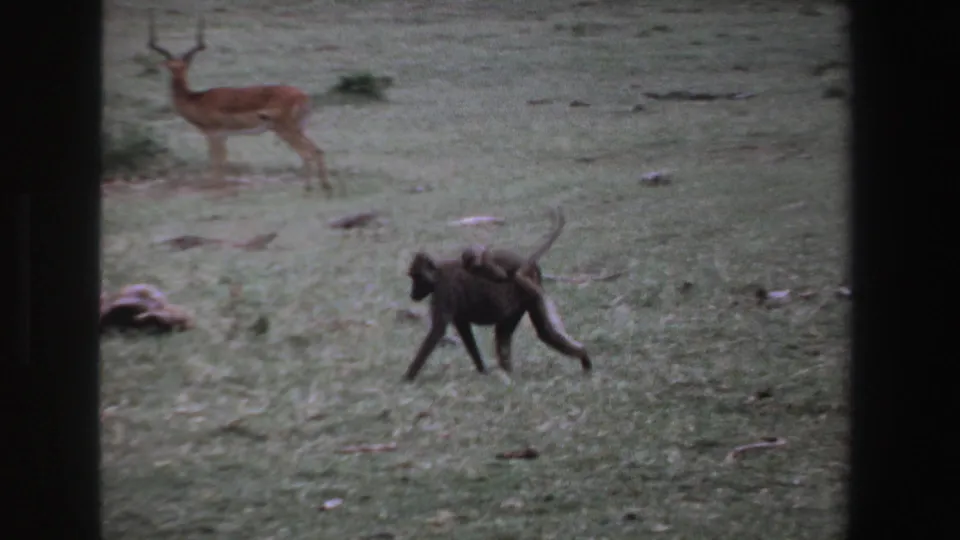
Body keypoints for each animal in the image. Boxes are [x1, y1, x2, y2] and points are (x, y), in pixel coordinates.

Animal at [147, 12, 336, 196]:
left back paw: (310, 188)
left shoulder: (214, 134)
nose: (176, 75)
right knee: (318, 150)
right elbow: (222, 160)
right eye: (172, 67)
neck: (197, 99)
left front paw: (216, 189)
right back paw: (325, 186)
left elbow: (217, 161)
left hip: (286, 130)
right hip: (298, 129)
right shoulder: (223, 135)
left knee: (307, 153)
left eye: (180, 67)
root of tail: (303, 96)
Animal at [403, 210, 591, 381]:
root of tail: (527, 266)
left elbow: (438, 331)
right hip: (523, 297)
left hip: (524, 290)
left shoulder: (444, 289)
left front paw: (407, 378)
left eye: (416, 277)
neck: (438, 273)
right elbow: (464, 331)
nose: (412, 293)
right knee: (531, 333)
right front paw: (482, 371)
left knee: (538, 331)